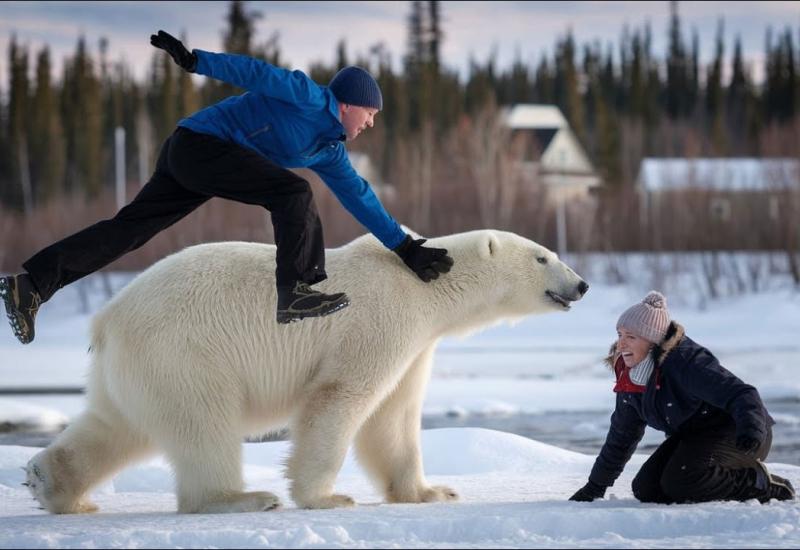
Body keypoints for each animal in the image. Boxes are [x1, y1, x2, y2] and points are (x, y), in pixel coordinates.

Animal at [25, 230, 588, 516]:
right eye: (544, 257)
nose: (581, 285)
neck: (423, 283)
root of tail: (107, 318)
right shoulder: (380, 319)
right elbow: (343, 397)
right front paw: (327, 496)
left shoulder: (417, 342)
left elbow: (396, 416)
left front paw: (431, 492)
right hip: (185, 352)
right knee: (203, 424)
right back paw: (242, 498)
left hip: (137, 368)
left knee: (115, 425)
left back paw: (53, 485)